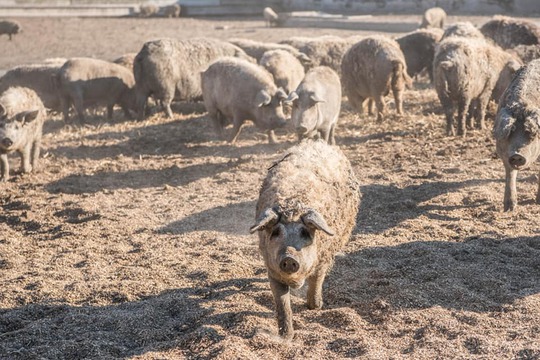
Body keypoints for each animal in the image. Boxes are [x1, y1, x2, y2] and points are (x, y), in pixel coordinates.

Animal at [251, 139, 360, 338]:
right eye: (276, 232)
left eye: (305, 233)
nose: (289, 257)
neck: (292, 204)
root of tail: (318, 142)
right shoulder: (272, 269)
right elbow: (282, 304)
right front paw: (286, 337)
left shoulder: (323, 257)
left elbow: (317, 280)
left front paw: (315, 307)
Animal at [494, 58, 540, 211]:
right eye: (510, 132)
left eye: (530, 134)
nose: (517, 155)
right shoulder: (502, 150)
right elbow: (510, 172)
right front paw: (509, 208)